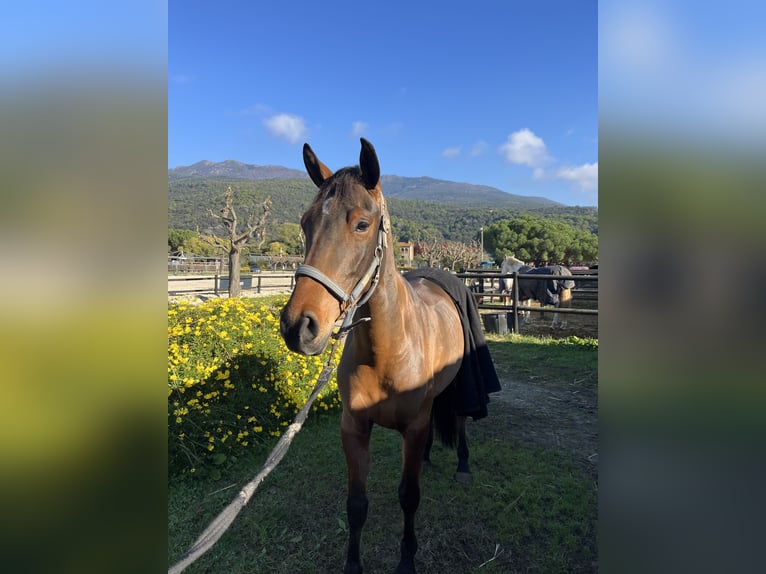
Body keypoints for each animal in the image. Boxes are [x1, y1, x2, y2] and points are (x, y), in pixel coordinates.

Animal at [280, 139, 501, 574]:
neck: (387, 352)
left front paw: (407, 560)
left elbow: (408, 497)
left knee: (461, 422)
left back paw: (462, 465)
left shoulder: (412, 427)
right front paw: (353, 565)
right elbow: (356, 505)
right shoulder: (354, 429)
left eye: (362, 224)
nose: (299, 326)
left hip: (460, 386)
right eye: (306, 223)